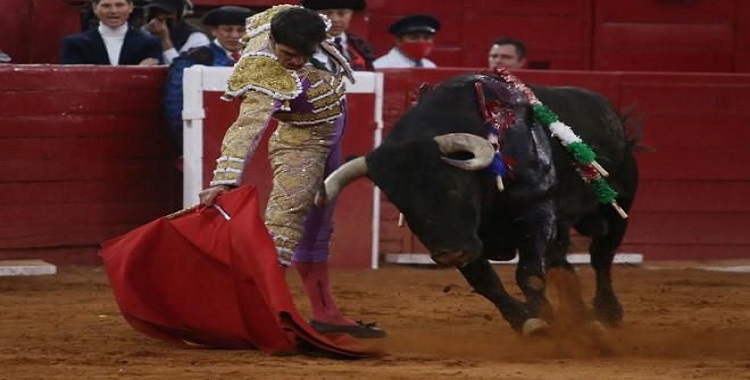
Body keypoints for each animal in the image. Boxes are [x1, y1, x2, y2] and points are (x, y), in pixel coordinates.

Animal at [318, 71, 640, 336]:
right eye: (401, 204)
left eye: (452, 187)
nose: (449, 254)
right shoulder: (467, 240)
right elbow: (486, 282)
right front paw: (529, 321)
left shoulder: (535, 212)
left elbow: (529, 274)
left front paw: (544, 316)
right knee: (563, 263)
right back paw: (583, 318)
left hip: (619, 206)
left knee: (601, 256)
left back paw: (607, 312)